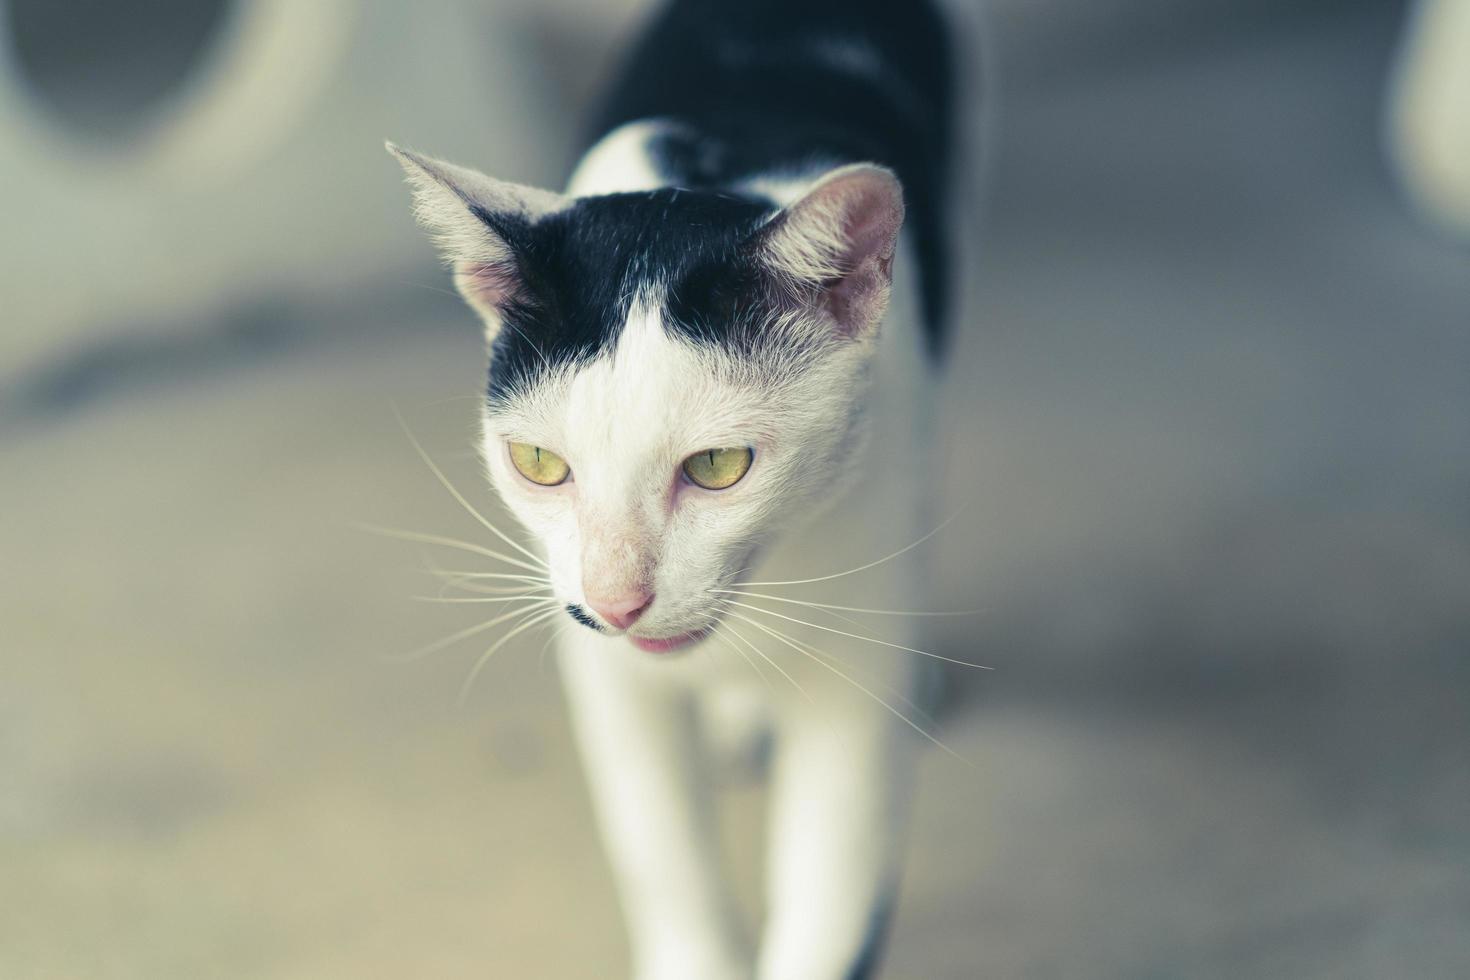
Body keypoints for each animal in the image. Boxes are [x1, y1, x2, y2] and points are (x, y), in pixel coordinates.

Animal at [385, 1, 970, 980]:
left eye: (718, 466)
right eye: (538, 462)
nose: (617, 601)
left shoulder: (857, 673)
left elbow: (833, 885)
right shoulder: (605, 673)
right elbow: (658, 849)